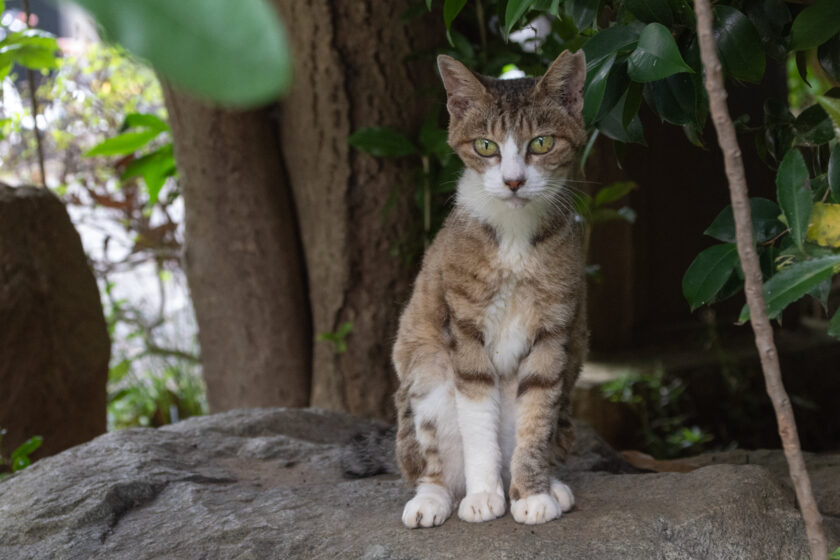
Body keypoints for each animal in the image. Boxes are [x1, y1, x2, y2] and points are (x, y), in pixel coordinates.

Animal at [390, 49, 588, 528]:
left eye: (541, 143)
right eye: (485, 146)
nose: (514, 181)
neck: (515, 236)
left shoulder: (553, 331)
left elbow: (536, 418)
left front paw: (533, 495)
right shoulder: (464, 326)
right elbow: (477, 418)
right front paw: (483, 496)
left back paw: (548, 483)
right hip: (424, 376)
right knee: (429, 462)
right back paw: (432, 499)